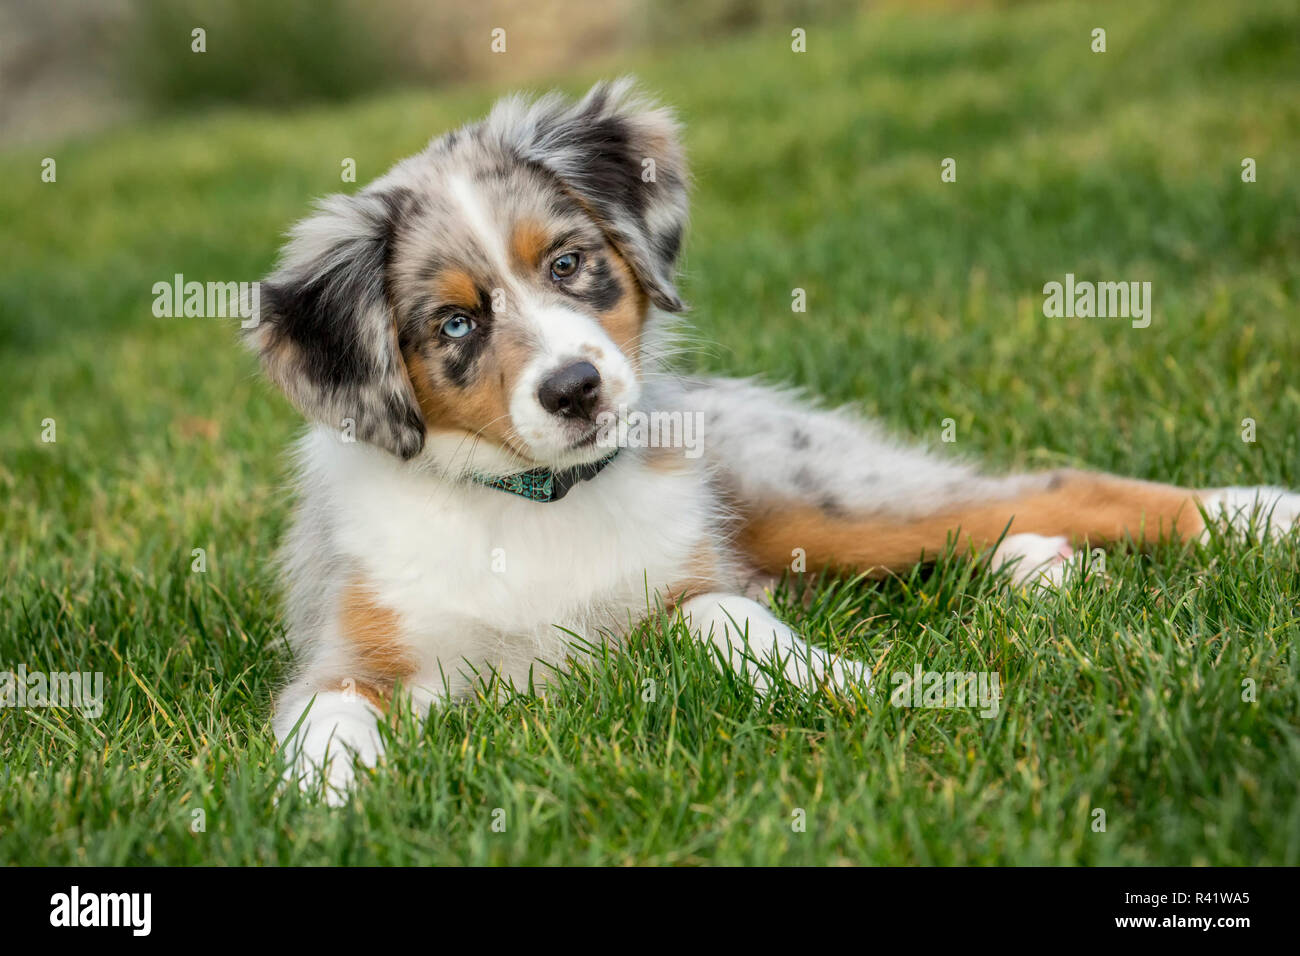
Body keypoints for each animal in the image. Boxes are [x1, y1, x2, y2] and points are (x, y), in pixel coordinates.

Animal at [245, 78, 1300, 806]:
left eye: (569, 264)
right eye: (456, 325)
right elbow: (327, 715)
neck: (537, 498)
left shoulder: (691, 581)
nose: (577, 390)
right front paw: (330, 801)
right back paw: (1038, 568)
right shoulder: (347, 652)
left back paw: (1253, 514)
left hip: (813, 491)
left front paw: (862, 683)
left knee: (1035, 486)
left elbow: (731, 618)